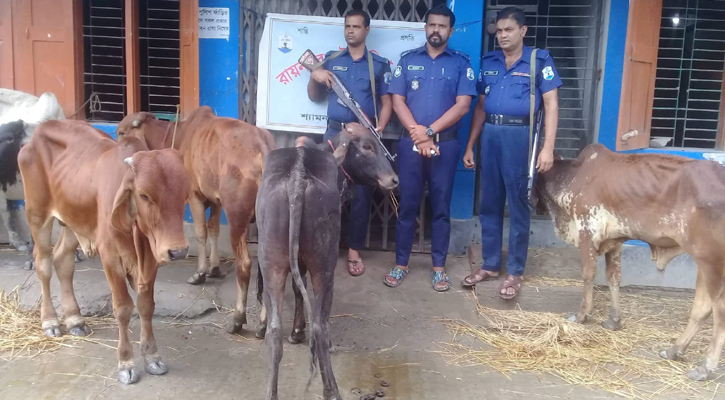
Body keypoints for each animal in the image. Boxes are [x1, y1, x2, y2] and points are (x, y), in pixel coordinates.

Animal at [18, 119, 191, 384]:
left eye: (183, 195)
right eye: (144, 195)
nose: (178, 252)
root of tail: (39, 131)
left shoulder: (150, 259)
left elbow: (146, 305)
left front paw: (152, 357)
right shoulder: (110, 255)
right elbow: (123, 308)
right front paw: (126, 363)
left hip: (72, 220)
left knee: (63, 261)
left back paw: (75, 319)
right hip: (37, 215)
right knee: (44, 264)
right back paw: (50, 321)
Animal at [116, 106, 278, 334]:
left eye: (121, 132)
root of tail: (263, 148)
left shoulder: (194, 196)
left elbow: (201, 231)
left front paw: (200, 272)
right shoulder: (216, 201)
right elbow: (214, 229)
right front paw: (215, 268)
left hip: (237, 217)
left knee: (244, 265)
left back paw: (238, 319)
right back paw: (264, 324)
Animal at [255, 124, 398, 400]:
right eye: (367, 146)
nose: (394, 179)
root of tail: (298, 177)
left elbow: (297, 291)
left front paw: (296, 331)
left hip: (271, 263)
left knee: (274, 332)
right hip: (324, 267)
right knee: (320, 328)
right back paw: (331, 390)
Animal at [532, 144, 724, 382]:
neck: (573, 175)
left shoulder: (588, 233)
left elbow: (588, 275)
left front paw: (582, 315)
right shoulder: (614, 242)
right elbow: (613, 278)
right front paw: (614, 320)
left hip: (711, 261)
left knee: (718, 311)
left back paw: (705, 367)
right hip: (703, 264)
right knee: (702, 307)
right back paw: (674, 350)